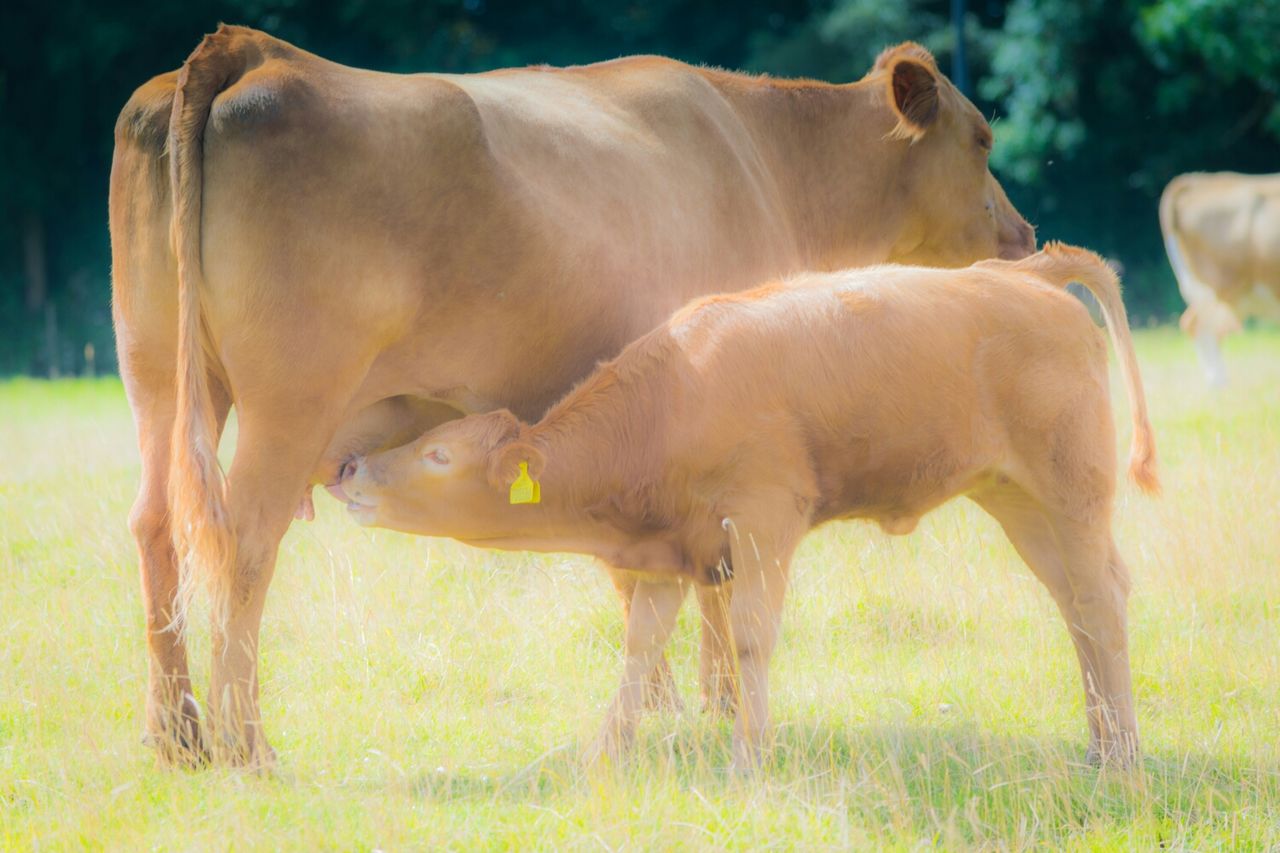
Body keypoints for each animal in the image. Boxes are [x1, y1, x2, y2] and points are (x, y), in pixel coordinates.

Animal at [107, 23, 1029, 758]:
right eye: (983, 139)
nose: (1022, 238)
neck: (769, 157)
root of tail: (254, 52)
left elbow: (642, 569)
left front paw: (665, 708)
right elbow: (712, 578)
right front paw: (715, 702)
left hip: (157, 372)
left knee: (156, 524)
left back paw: (175, 735)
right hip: (291, 396)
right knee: (243, 540)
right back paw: (245, 746)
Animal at [340, 242, 1162, 768]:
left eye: (438, 455)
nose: (348, 465)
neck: (673, 397)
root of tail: (1020, 272)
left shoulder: (765, 519)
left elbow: (749, 639)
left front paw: (748, 756)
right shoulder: (668, 549)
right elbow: (640, 648)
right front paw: (606, 751)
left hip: (1072, 487)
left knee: (1103, 596)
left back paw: (1122, 751)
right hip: (1018, 498)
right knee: (1073, 602)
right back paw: (1097, 741)